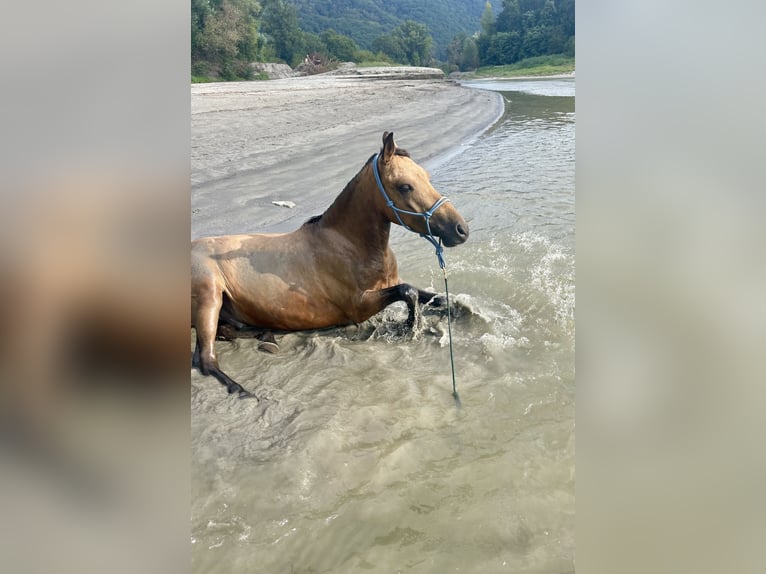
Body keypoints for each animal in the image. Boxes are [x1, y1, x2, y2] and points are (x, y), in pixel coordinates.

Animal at [191, 132, 469, 398]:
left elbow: (434, 296)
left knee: (227, 332)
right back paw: (243, 390)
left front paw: (460, 309)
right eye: (405, 186)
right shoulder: (359, 306)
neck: (348, 245)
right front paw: (411, 326)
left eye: (427, 177)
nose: (461, 230)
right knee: (205, 359)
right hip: (210, 297)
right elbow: (408, 291)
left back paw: (267, 338)